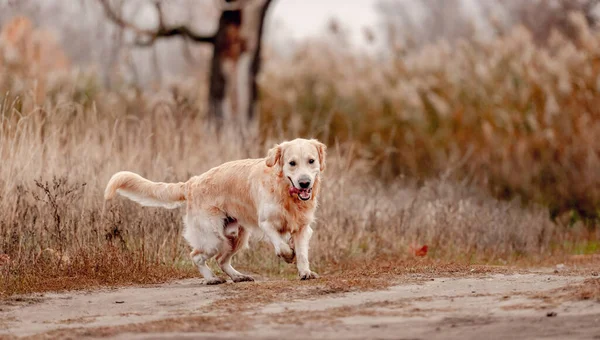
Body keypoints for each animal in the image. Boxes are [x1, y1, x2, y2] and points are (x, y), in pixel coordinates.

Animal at [105, 138, 326, 284]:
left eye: (311, 161)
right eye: (292, 163)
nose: (304, 183)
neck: (286, 192)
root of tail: (191, 183)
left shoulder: (303, 228)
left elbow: (302, 253)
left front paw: (305, 272)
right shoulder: (266, 223)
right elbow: (281, 245)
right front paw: (288, 255)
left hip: (236, 237)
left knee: (221, 260)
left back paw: (238, 276)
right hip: (213, 238)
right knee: (196, 255)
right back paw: (211, 279)